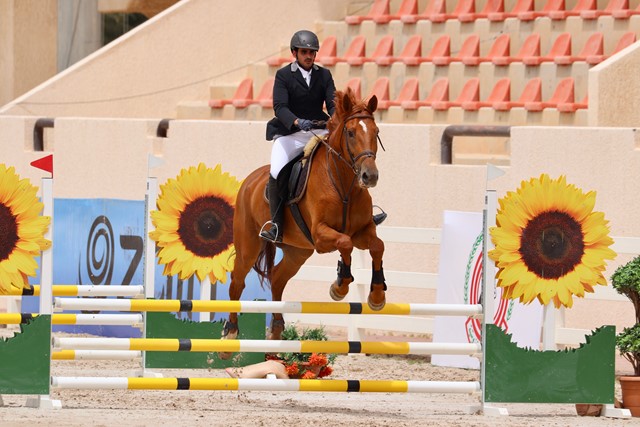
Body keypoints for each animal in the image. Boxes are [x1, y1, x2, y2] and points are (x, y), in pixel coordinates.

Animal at [220, 88, 386, 357]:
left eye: (376, 132)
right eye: (351, 133)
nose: (369, 176)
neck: (344, 185)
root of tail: (249, 181)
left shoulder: (363, 231)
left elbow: (376, 246)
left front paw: (378, 295)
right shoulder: (320, 235)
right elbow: (345, 243)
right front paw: (340, 286)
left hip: (298, 251)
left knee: (277, 277)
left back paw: (276, 330)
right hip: (249, 245)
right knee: (237, 282)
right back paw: (230, 336)